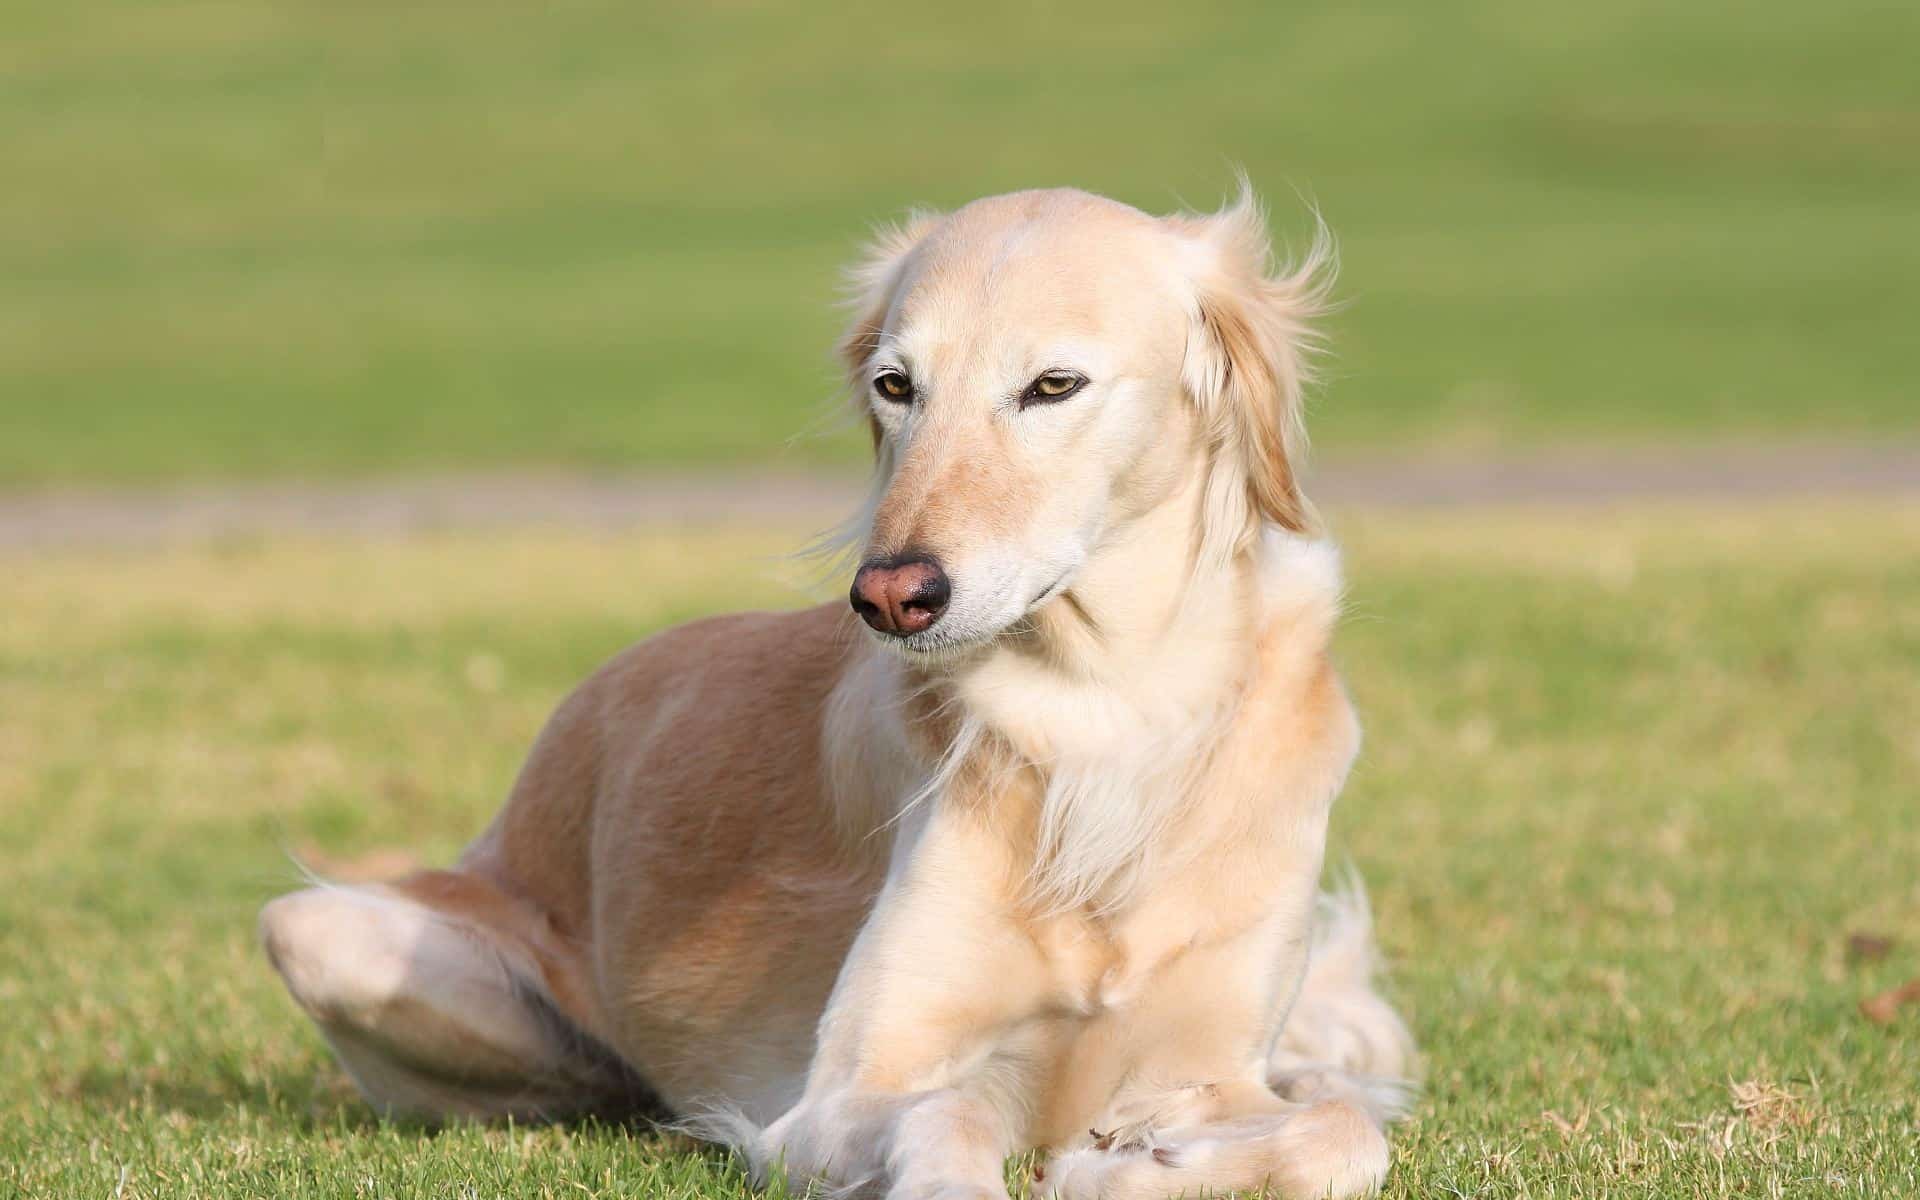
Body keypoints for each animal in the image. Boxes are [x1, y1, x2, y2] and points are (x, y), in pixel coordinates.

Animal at [259, 187, 1413, 1198]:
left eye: (1053, 385)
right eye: (896, 385)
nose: (890, 596)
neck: (1105, 708)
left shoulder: (1213, 1067)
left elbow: (1341, 1135)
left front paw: (1137, 1164)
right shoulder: (836, 1097)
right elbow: (951, 1109)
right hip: (326, 936)